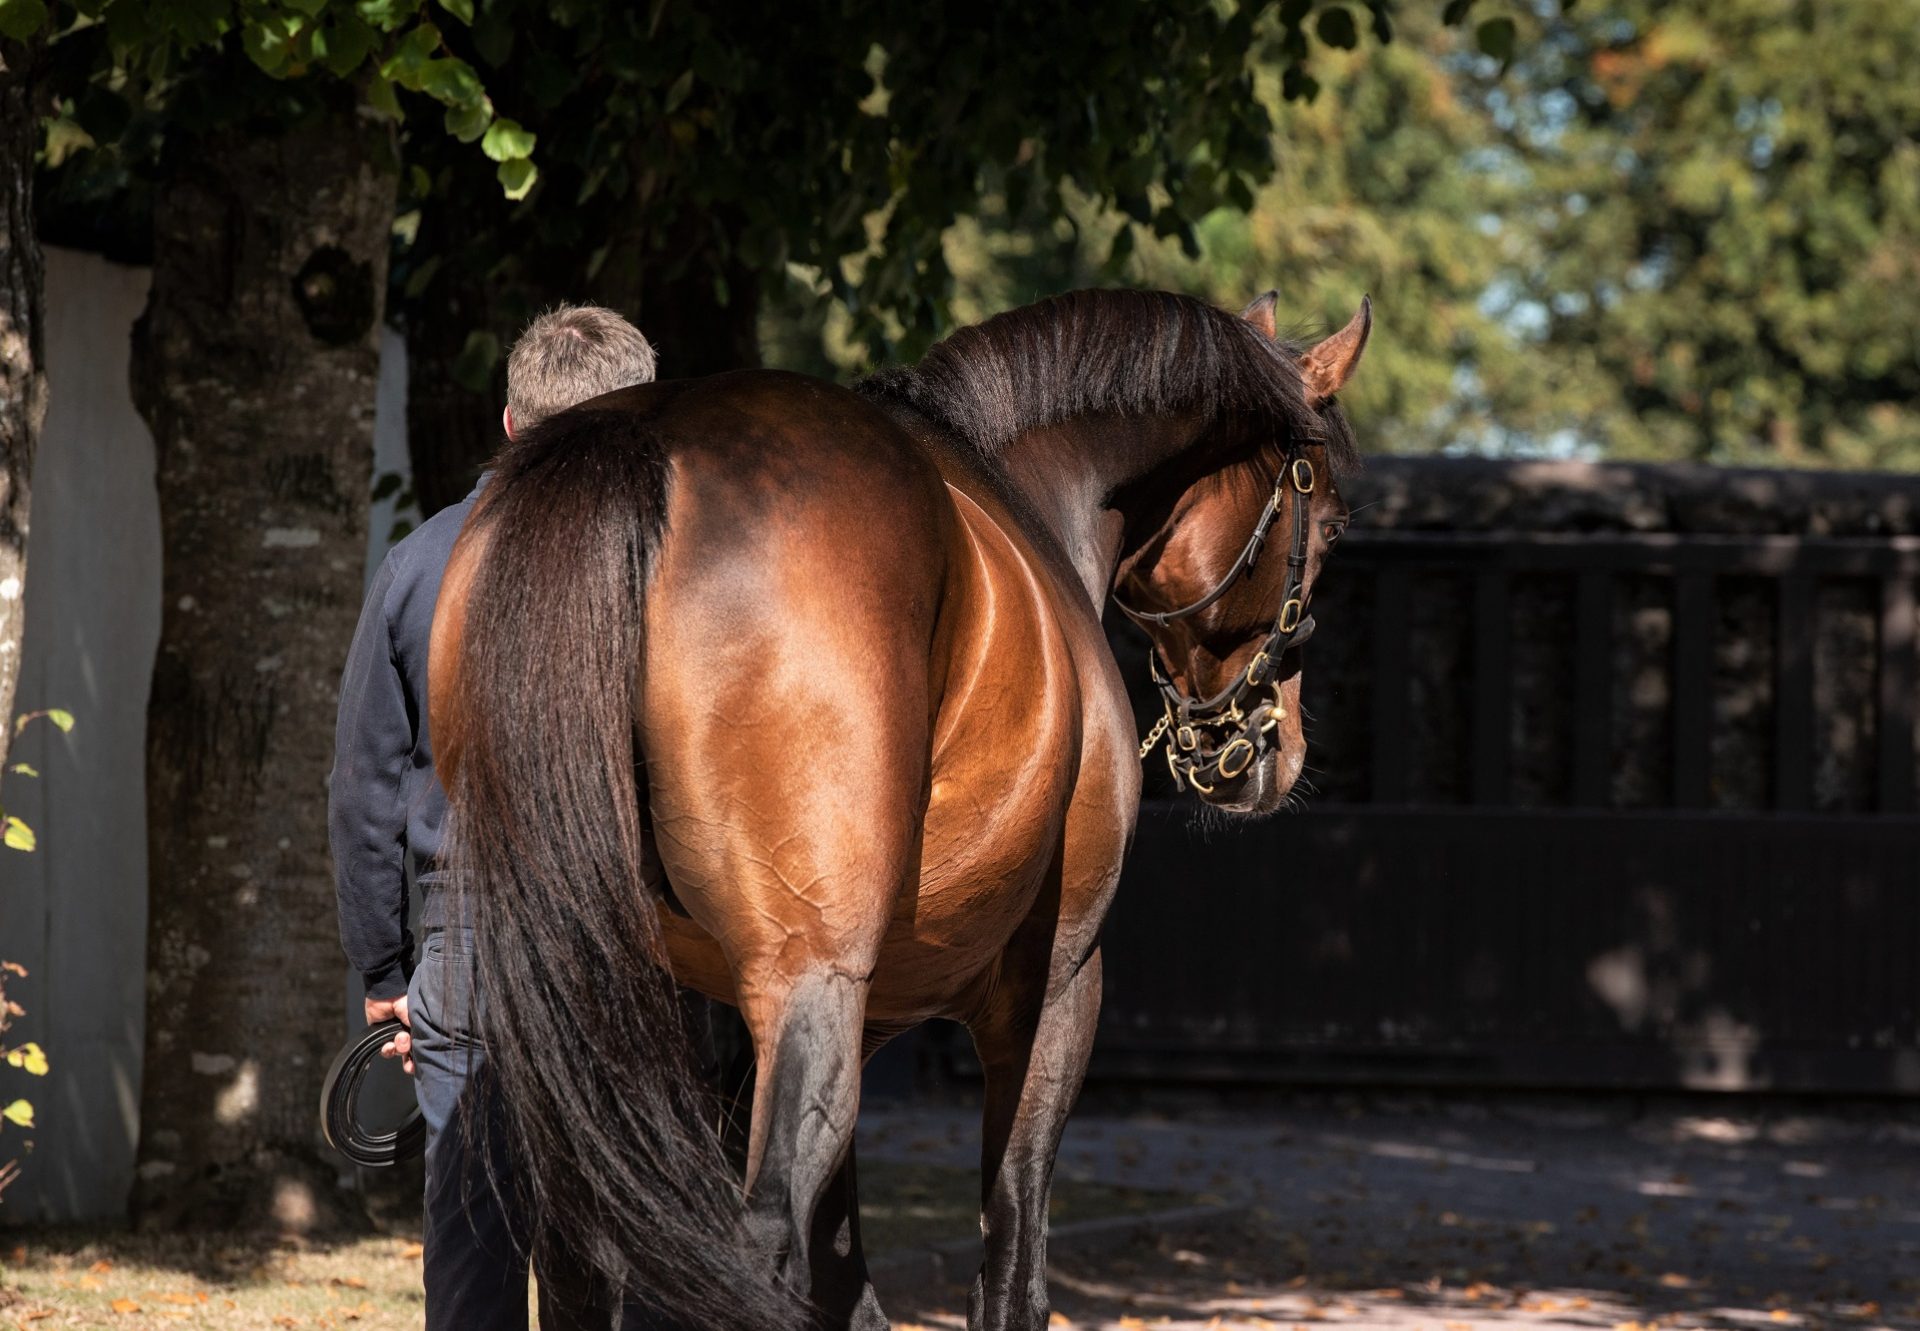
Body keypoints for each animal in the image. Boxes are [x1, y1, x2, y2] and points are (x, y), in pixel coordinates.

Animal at [430, 286, 1374, 1321]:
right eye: (1327, 521)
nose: (1273, 745)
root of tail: (643, 440)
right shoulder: (1053, 989)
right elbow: (1008, 1266)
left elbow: (846, 1283)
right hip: (811, 986)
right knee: (758, 1247)